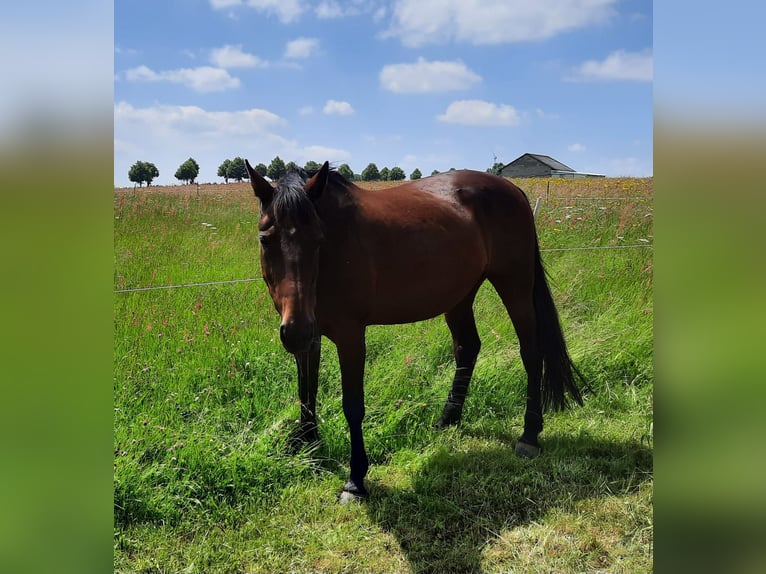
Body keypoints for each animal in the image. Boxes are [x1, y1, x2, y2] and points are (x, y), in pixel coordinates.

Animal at [244, 160, 584, 502]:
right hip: (460, 295)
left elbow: (352, 406)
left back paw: (529, 436)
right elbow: (307, 391)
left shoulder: (349, 335)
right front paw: (309, 445)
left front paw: (356, 479)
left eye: (318, 238)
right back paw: (448, 420)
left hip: (515, 285)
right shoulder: (309, 336)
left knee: (531, 353)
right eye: (265, 239)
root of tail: (514, 190)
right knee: (468, 347)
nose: (296, 331)